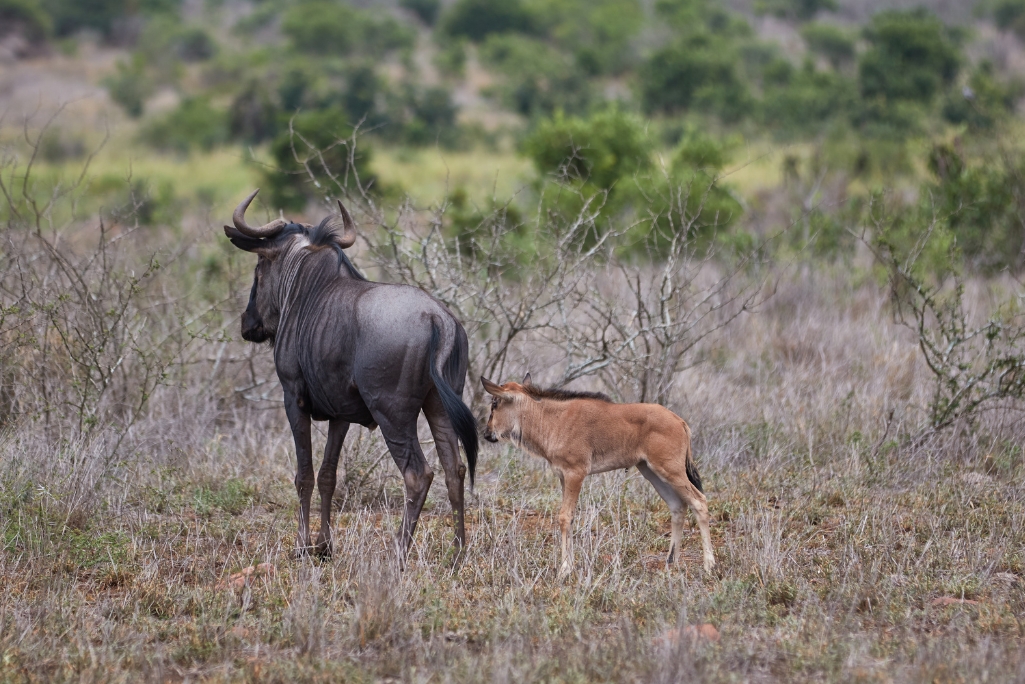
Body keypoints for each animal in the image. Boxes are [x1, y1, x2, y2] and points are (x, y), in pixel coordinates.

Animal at [223, 189, 478, 563]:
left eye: (259, 267)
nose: (247, 323)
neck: (307, 289)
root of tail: (437, 319)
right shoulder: (340, 414)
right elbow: (328, 475)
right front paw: (324, 547)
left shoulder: (293, 399)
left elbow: (304, 474)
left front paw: (302, 547)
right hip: (440, 407)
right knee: (454, 469)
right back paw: (458, 552)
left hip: (393, 416)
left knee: (418, 474)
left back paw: (397, 553)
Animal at [481, 374, 714, 577]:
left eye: (495, 403)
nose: (487, 433)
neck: (552, 418)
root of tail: (680, 422)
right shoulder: (563, 476)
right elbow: (569, 517)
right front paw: (569, 565)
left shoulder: (575, 473)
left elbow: (564, 516)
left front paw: (564, 569)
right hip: (652, 472)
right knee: (677, 505)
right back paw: (670, 562)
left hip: (670, 470)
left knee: (699, 501)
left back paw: (709, 565)